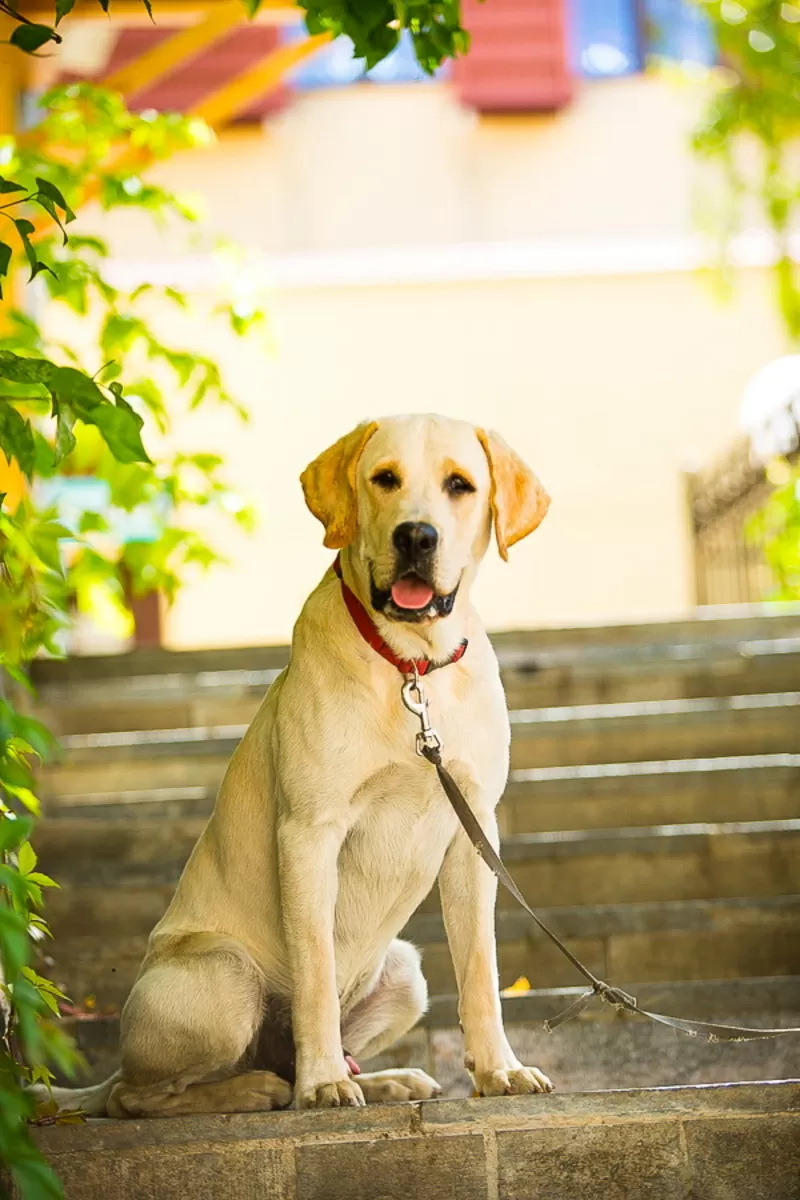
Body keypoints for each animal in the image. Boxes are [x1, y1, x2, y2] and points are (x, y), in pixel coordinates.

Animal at [50, 412, 554, 1113]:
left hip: (405, 972)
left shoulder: (473, 831)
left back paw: (379, 1079)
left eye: (460, 484)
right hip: (224, 976)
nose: (416, 535)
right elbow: (315, 970)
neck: (410, 665)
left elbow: (481, 966)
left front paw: (498, 1069)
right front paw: (322, 1085)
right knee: (142, 1095)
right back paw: (263, 1087)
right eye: (384, 478)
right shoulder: (310, 834)